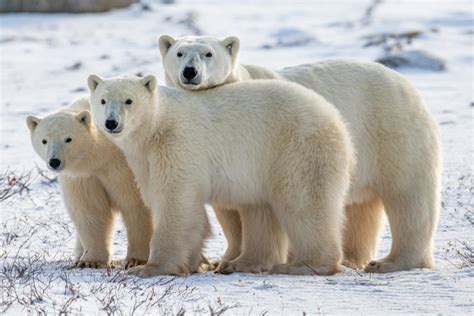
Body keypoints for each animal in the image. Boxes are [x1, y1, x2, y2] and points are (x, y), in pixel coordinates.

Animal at [26, 97, 154, 268]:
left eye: (68, 139)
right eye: (44, 140)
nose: (54, 161)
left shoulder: (123, 168)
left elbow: (135, 203)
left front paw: (136, 260)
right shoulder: (83, 177)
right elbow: (90, 211)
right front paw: (90, 261)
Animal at [88, 74, 356, 276]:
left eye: (129, 100)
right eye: (102, 100)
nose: (111, 123)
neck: (157, 127)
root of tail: (336, 119)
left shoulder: (177, 144)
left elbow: (174, 199)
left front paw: (149, 268)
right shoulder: (144, 159)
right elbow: (182, 207)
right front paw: (194, 262)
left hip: (295, 148)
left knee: (302, 202)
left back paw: (304, 265)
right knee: (261, 210)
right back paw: (240, 263)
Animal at [158, 33, 440, 272]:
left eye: (208, 53)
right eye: (179, 53)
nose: (190, 72)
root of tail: (403, 82)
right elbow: (229, 212)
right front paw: (224, 260)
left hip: (393, 131)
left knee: (408, 196)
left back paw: (391, 262)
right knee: (360, 209)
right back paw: (352, 258)